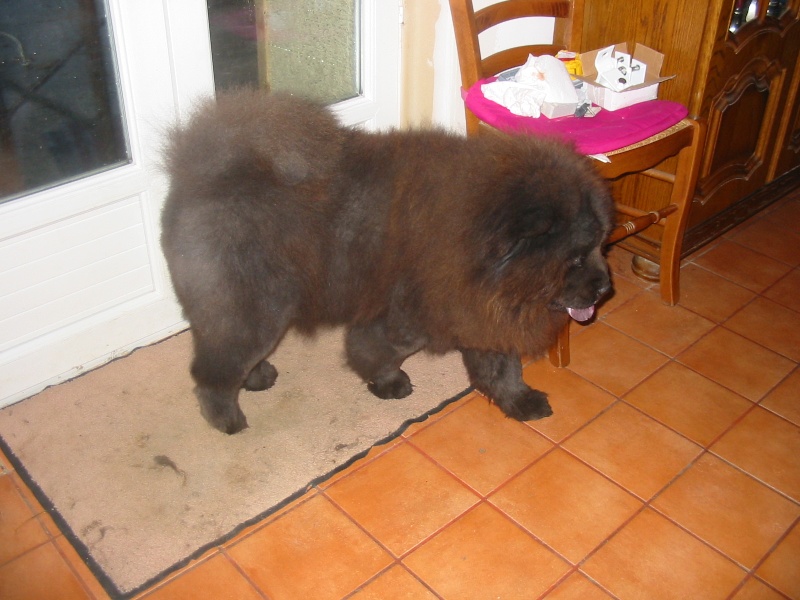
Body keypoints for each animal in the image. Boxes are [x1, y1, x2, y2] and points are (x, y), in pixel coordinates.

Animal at [161, 89, 614, 434]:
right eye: (575, 258)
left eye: (601, 247)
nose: (606, 287)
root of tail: (198, 171)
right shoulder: (412, 313)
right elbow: (378, 348)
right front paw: (387, 382)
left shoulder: (481, 310)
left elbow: (502, 366)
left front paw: (520, 402)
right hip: (254, 309)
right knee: (214, 369)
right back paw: (227, 418)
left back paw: (258, 378)